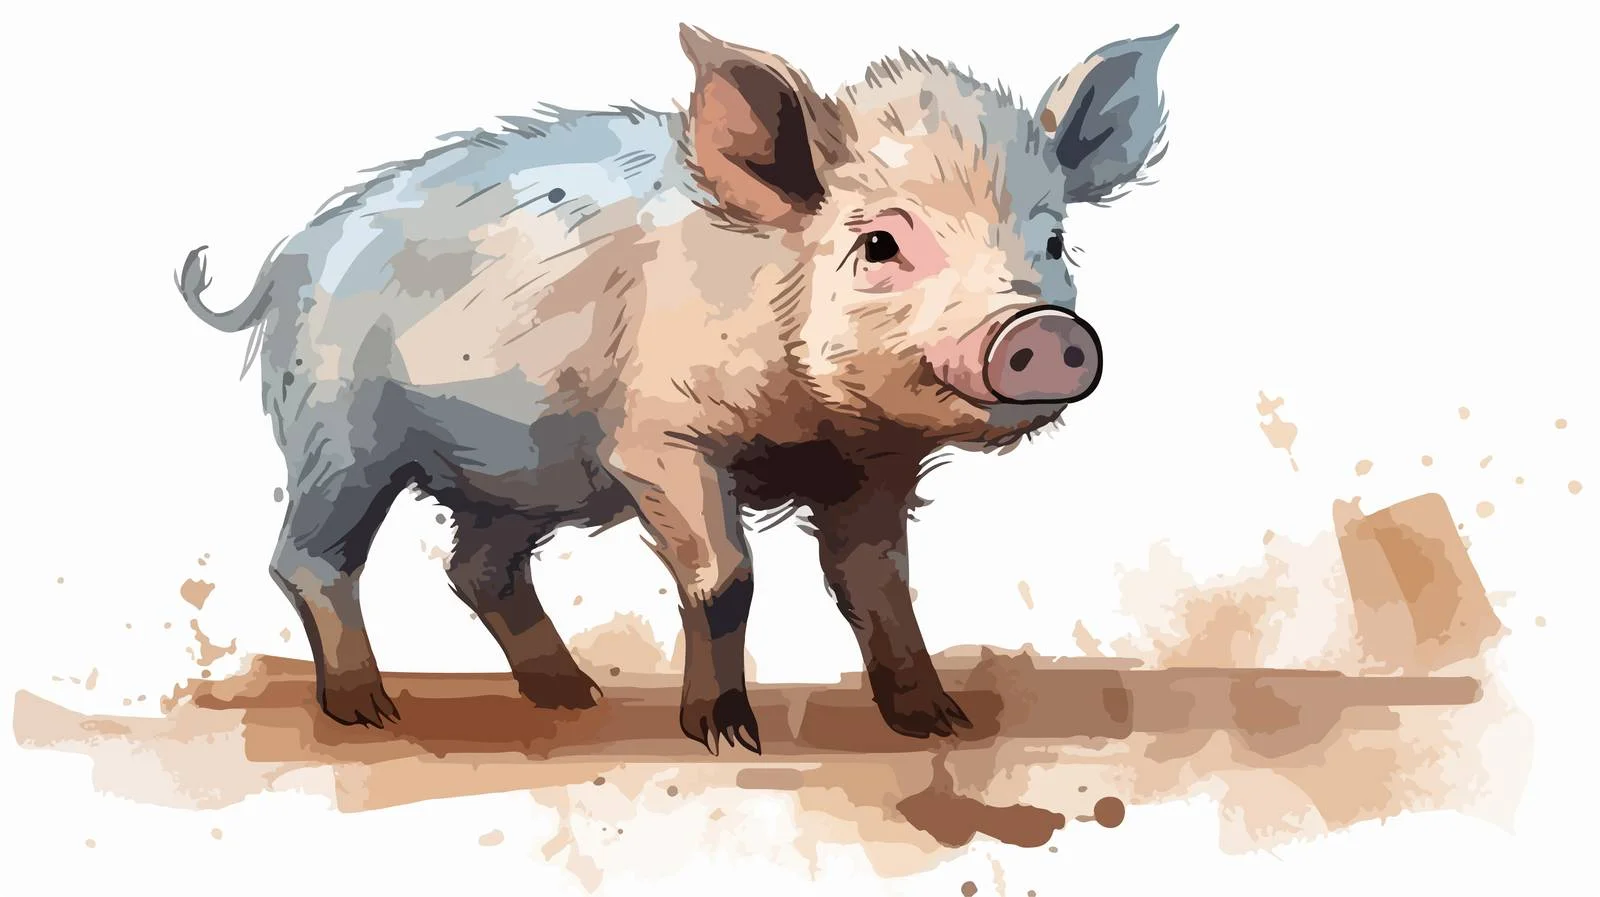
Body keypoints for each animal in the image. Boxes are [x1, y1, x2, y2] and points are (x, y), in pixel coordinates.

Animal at [173, 23, 1176, 754]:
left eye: (1054, 241)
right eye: (881, 243)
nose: (1043, 332)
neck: (809, 421)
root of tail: (288, 259)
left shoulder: (875, 467)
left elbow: (878, 586)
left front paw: (937, 723)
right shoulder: (657, 439)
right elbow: (724, 576)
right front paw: (728, 737)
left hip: (519, 476)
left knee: (478, 568)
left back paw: (572, 697)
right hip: (336, 435)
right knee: (309, 559)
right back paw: (367, 711)